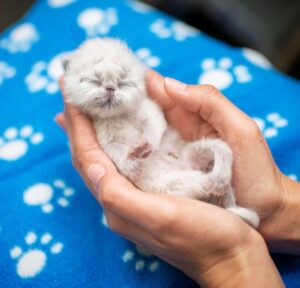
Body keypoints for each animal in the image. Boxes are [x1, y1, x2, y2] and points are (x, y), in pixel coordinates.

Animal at [63, 37, 260, 227]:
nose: (110, 88)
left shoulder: (149, 111)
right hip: (174, 183)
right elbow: (115, 150)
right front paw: (132, 165)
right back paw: (218, 184)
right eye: (94, 81)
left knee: (221, 155)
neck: (117, 116)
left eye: (124, 83)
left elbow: (154, 126)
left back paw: (219, 180)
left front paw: (145, 147)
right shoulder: (104, 139)